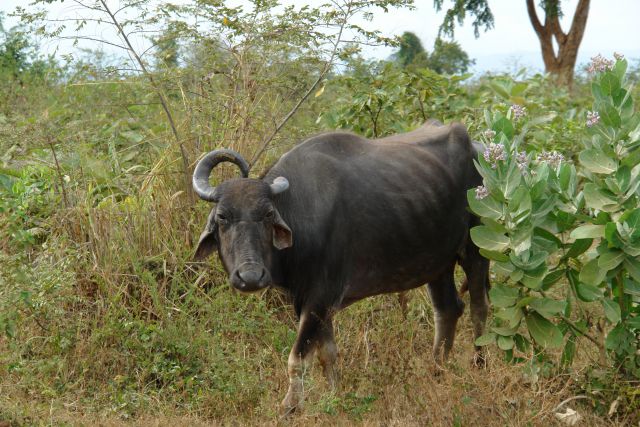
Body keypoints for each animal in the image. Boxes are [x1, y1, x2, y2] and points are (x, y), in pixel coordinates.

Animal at [192, 120, 488, 414]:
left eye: (267, 215)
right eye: (223, 216)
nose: (250, 276)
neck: (301, 214)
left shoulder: (319, 298)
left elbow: (298, 357)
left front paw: (290, 406)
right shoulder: (312, 304)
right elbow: (327, 353)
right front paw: (334, 395)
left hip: (475, 250)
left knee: (479, 308)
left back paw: (479, 364)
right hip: (438, 263)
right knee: (448, 309)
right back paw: (437, 369)